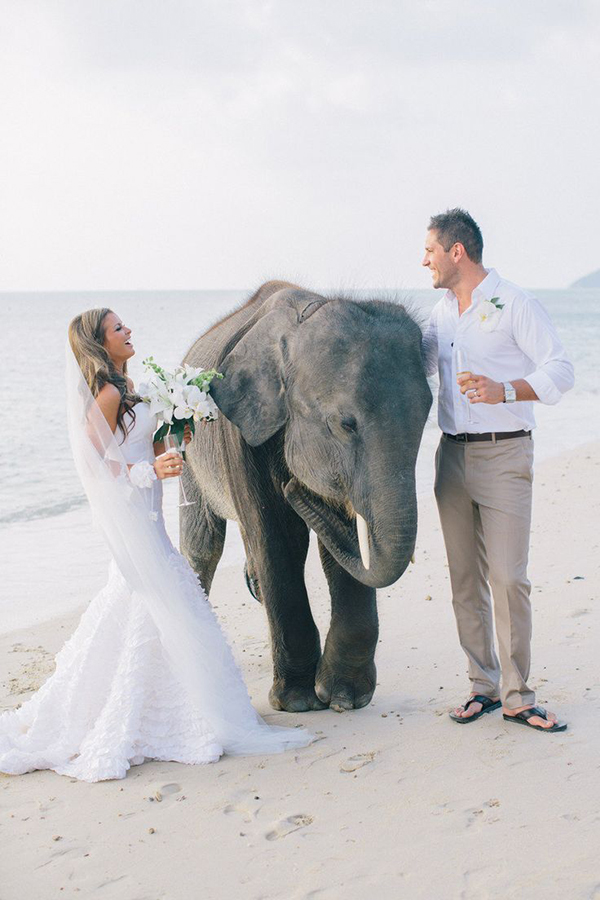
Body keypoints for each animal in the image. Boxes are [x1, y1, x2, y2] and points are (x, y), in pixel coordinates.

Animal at [180, 282, 434, 712]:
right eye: (345, 424)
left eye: (427, 415)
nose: (295, 486)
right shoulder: (238, 434)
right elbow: (277, 541)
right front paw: (297, 700)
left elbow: (342, 550)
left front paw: (345, 698)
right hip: (185, 450)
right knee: (202, 544)